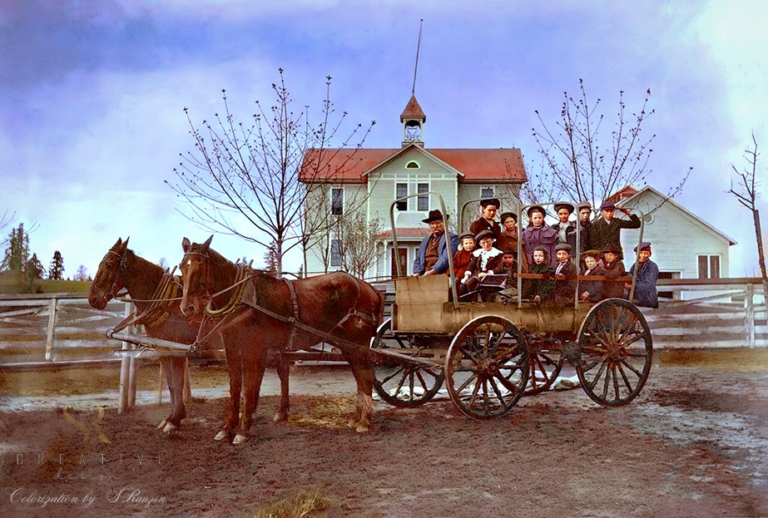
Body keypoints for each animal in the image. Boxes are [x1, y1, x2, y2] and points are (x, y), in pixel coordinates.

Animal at [88, 239, 292, 434]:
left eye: (109, 264)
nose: (92, 299)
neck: (166, 303)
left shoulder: (176, 350)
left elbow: (177, 384)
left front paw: (175, 420)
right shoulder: (163, 349)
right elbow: (171, 384)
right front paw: (169, 418)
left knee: (281, 371)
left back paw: (278, 412)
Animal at [179, 238, 384, 444]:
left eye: (201, 264)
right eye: (182, 266)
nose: (187, 307)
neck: (244, 299)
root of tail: (370, 288)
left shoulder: (253, 349)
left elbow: (249, 389)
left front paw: (243, 430)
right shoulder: (232, 349)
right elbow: (235, 389)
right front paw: (227, 428)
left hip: (358, 343)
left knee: (365, 377)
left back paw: (364, 421)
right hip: (347, 345)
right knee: (359, 378)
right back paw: (356, 418)